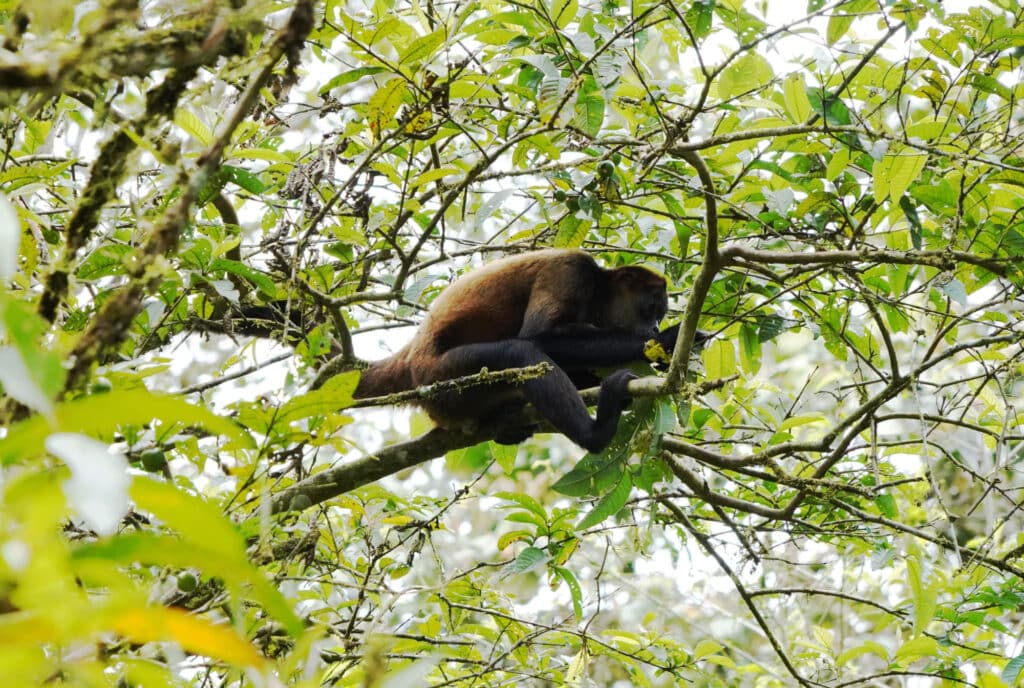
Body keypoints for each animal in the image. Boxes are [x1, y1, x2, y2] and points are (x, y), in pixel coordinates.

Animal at [354, 249, 699, 453]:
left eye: (659, 314)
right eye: (651, 309)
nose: (654, 328)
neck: (597, 291)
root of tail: (412, 356)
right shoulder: (570, 269)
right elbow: (540, 338)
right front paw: (668, 341)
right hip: (441, 380)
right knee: (517, 353)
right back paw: (596, 434)